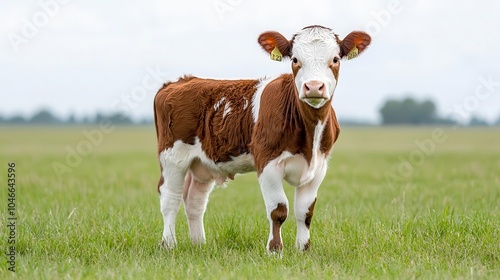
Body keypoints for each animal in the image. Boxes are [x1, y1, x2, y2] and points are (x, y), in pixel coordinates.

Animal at [154, 25, 370, 252]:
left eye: (335, 59)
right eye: (295, 59)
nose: (313, 86)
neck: (309, 136)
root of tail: (180, 81)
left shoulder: (318, 166)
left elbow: (305, 212)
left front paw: (303, 249)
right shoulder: (267, 162)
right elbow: (278, 210)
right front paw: (274, 249)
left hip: (201, 164)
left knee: (195, 200)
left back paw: (199, 244)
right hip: (172, 157)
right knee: (170, 198)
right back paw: (168, 244)